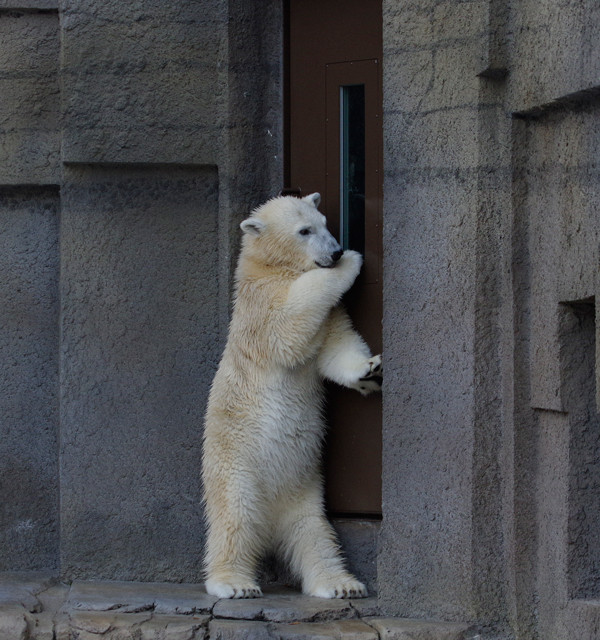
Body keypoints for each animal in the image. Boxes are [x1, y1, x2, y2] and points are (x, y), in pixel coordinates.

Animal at [200, 194, 380, 600]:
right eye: (304, 230)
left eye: (324, 222)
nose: (336, 250)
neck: (269, 267)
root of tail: (270, 523)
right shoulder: (260, 308)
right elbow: (290, 325)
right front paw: (352, 262)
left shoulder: (329, 317)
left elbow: (335, 349)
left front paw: (369, 371)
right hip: (237, 466)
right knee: (234, 518)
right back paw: (232, 582)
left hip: (305, 492)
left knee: (315, 534)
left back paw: (340, 584)